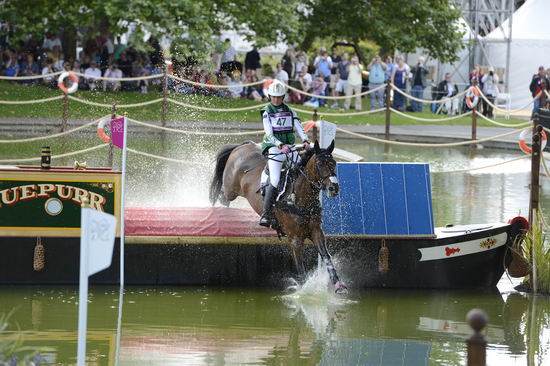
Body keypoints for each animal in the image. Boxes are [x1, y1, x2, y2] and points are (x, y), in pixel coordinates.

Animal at [209, 139, 348, 294]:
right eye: (319, 164)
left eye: (334, 163)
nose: (333, 188)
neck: (299, 198)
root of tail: (243, 145)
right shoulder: (295, 240)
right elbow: (300, 268)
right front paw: (303, 292)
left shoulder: (317, 233)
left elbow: (327, 258)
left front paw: (339, 285)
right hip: (230, 190)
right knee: (223, 194)